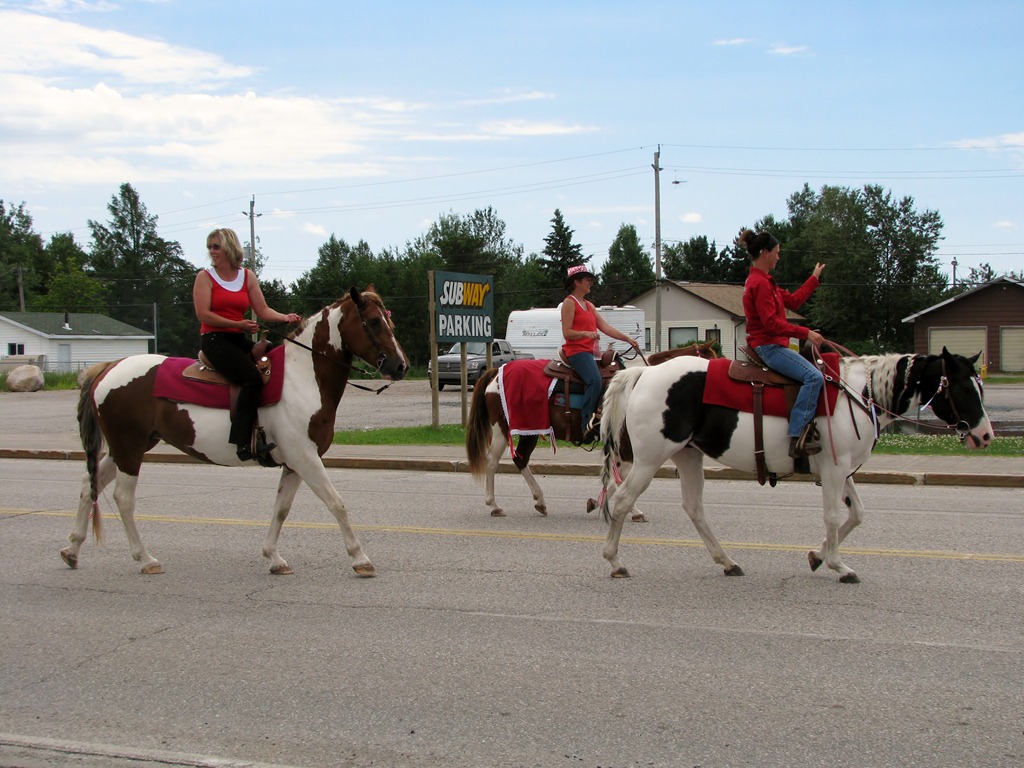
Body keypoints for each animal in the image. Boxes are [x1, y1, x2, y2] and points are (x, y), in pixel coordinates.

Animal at [61, 286, 407, 577]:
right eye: (374, 322)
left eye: (389, 320)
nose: (400, 366)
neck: (301, 378)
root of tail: (107, 369)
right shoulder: (305, 458)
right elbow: (337, 503)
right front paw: (360, 559)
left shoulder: (294, 463)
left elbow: (281, 509)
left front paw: (274, 557)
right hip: (129, 449)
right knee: (122, 497)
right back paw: (145, 559)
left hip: (126, 448)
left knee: (88, 486)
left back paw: (72, 550)